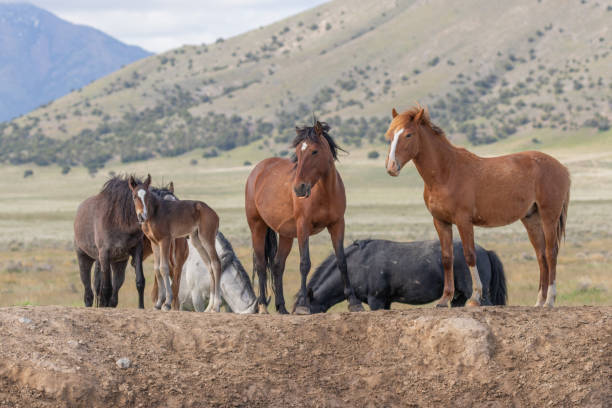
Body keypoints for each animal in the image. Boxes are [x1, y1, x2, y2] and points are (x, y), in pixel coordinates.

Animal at [128, 174, 224, 310]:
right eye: (134, 196)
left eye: (147, 196)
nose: (142, 216)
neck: (154, 213)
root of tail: (214, 213)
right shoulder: (154, 243)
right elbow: (157, 269)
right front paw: (158, 303)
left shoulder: (165, 240)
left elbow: (164, 268)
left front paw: (167, 303)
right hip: (196, 240)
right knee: (209, 265)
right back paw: (209, 307)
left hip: (207, 238)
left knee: (216, 263)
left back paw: (216, 305)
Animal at [246, 119, 366, 314]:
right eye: (297, 153)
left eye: (314, 151)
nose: (299, 188)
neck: (325, 192)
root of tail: (257, 171)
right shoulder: (303, 226)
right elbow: (304, 263)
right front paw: (303, 305)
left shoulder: (337, 224)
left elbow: (342, 261)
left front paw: (354, 302)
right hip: (257, 227)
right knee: (261, 265)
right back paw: (263, 306)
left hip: (286, 234)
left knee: (278, 265)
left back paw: (282, 308)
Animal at [296, 239, 506, 312]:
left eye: (305, 310)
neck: (357, 263)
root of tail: (484, 251)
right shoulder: (386, 302)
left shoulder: (376, 300)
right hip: (458, 298)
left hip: (477, 294)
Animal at [384, 105, 572, 306]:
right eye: (391, 135)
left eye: (408, 134)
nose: (391, 167)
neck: (446, 172)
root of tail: (562, 167)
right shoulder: (441, 222)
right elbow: (447, 258)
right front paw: (444, 298)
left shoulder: (464, 221)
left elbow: (469, 255)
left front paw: (474, 297)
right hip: (531, 219)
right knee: (541, 256)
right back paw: (539, 302)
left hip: (549, 216)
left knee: (551, 253)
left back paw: (550, 300)